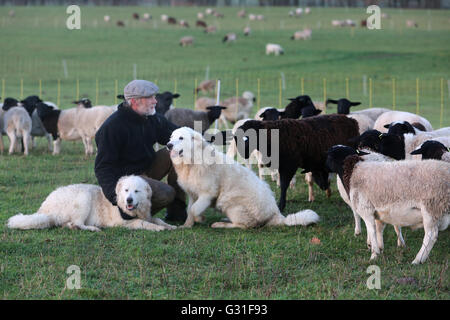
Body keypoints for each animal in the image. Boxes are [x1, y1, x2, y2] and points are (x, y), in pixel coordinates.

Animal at [7, 175, 176, 232]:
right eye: (126, 190)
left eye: (136, 191)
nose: (129, 200)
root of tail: (44, 209)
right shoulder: (124, 223)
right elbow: (144, 223)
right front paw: (159, 228)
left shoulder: (147, 214)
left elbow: (156, 219)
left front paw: (170, 226)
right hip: (84, 198)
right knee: (78, 222)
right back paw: (92, 228)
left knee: (68, 224)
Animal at [166, 126, 320, 229]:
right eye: (171, 137)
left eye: (181, 138)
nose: (168, 145)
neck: (192, 161)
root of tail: (276, 214)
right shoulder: (193, 195)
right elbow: (190, 210)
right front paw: (187, 225)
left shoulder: (208, 194)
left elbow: (194, 209)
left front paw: (200, 218)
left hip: (229, 203)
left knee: (245, 225)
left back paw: (221, 224)